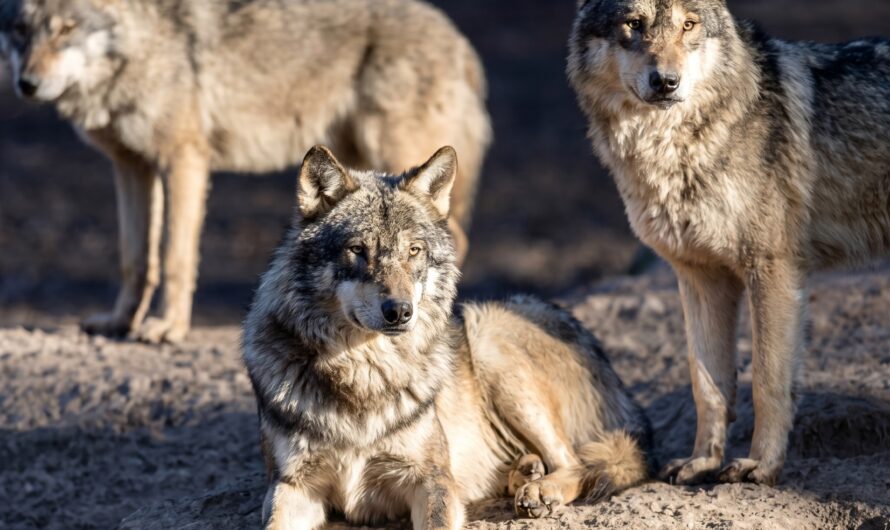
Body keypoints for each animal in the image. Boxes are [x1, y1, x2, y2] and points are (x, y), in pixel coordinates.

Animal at [0, 0, 491, 343]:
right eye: (21, 31)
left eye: (66, 29)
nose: (27, 84)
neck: (144, 44)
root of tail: (460, 42)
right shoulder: (131, 166)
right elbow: (135, 257)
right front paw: (121, 322)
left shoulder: (184, 159)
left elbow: (175, 257)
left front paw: (167, 328)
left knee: (456, 239)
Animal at [242, 145, 651, 529]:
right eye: (357, 250)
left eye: (413, 251)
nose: (400, 311)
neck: (364, 373)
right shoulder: (292, 485)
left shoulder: (431, 478)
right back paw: (525, 472)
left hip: (491, 342)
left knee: (577, 462)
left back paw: (540, 489)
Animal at [568, 0, 890, 486]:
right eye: (634, 24)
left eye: (688, 24)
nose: (666, 81)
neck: (672, 148)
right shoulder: (701, 278)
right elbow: (708, 385)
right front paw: (702, 461)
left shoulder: (773, 270)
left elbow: (767, 381)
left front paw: (761, 465)